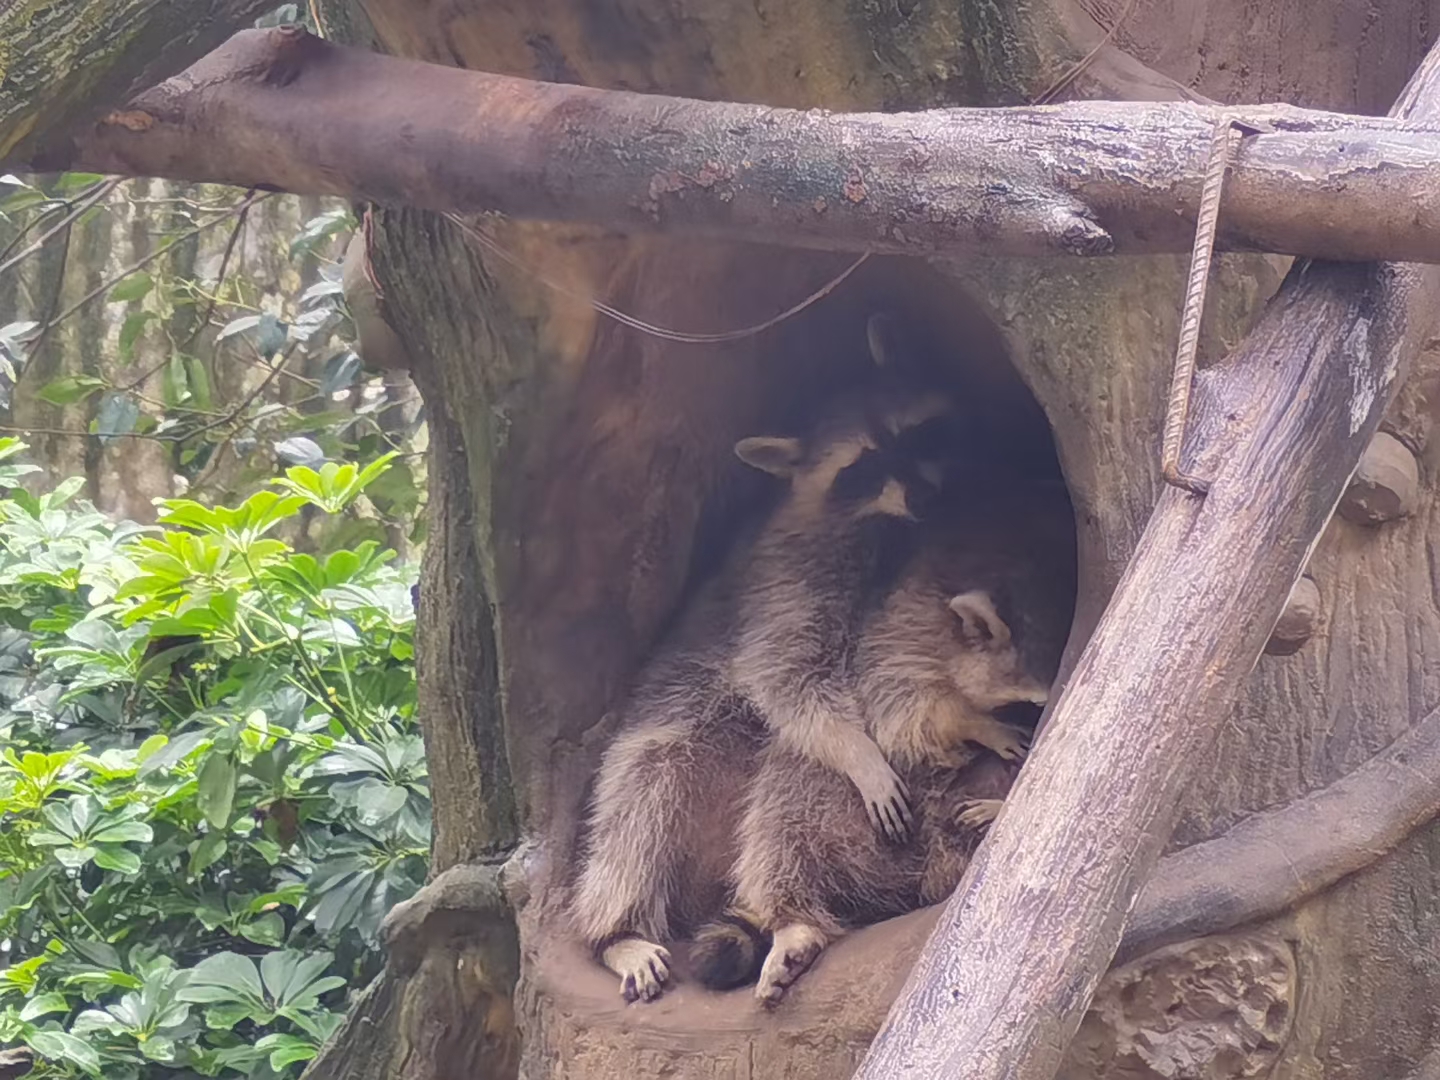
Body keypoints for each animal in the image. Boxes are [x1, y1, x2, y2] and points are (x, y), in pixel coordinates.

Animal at [567, 385, 961, 1002]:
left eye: (917, 432)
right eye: (864, 464)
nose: (922, 493)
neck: (879, 524)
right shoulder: (786, 580)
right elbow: (786, 676)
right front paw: (859, 751)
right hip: (670, 752)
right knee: (637, 808)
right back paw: (617, 930)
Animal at [691, 489, 1077, 1008]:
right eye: (1024, 709)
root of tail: (920, 878)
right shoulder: (904, 619)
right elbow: (897, 703)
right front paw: (972, 722)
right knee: (786, 807)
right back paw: (792, 918)